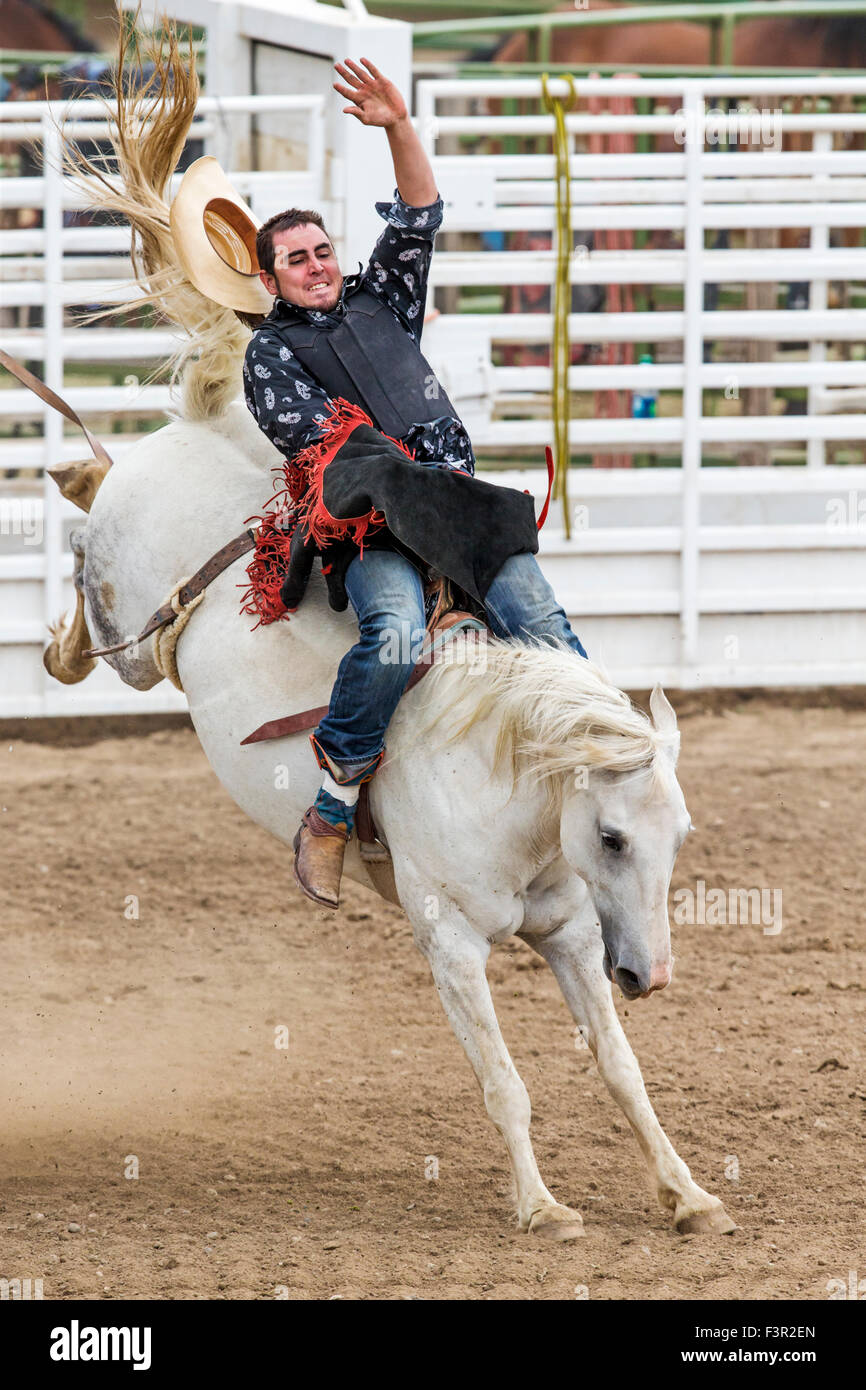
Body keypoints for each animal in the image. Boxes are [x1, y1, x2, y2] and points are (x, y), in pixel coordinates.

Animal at [44, 29, 733, 1239]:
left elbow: (617, 1067)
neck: (508, 788)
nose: (652, 976)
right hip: (131, 620)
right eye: (611, 837)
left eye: (676, 837)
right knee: (94, 581)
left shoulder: (568, 933)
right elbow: (504, 1078)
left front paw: (685, 1193)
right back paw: (63, 588)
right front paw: (542, 1208)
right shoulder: (448, 938)